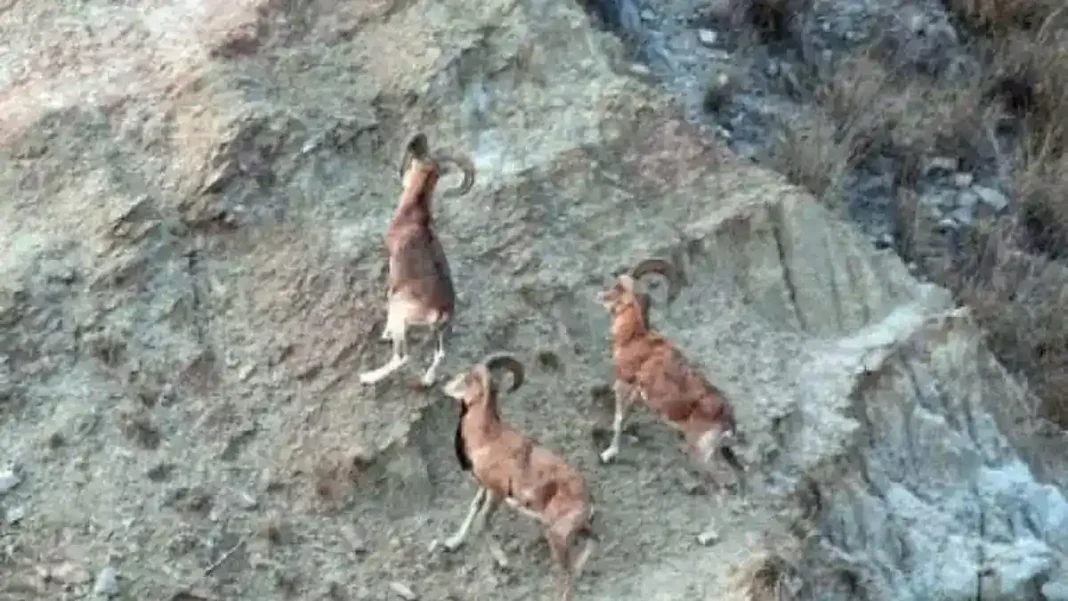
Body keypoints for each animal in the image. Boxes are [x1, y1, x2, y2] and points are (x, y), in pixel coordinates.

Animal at [358, 132, 475, 388]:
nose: (401, 175)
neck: (413, 215)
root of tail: (440, 310)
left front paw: (385, 334)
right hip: (438, 332)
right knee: (440, 353)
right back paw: (427, 381)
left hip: (402, 315)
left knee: (402, 357)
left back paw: (367, 377)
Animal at [437, 352, 596, 601]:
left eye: (469, 378)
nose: (445, 384)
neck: (488, 439)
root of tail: (587, 501)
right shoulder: (484, 486)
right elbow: (474, 509)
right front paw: (452, 543)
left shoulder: (497, 492)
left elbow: (483, 521)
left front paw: (503, 561)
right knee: (592, 542)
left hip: (557, 535)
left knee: (567, 572)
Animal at [596, 258, 748, 496]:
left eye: (619, 287)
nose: (600, 296)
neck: (635, 339)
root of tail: (727, 420)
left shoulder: (625, 383)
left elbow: (618, 420)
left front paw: (609, 454)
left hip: (702, 453)